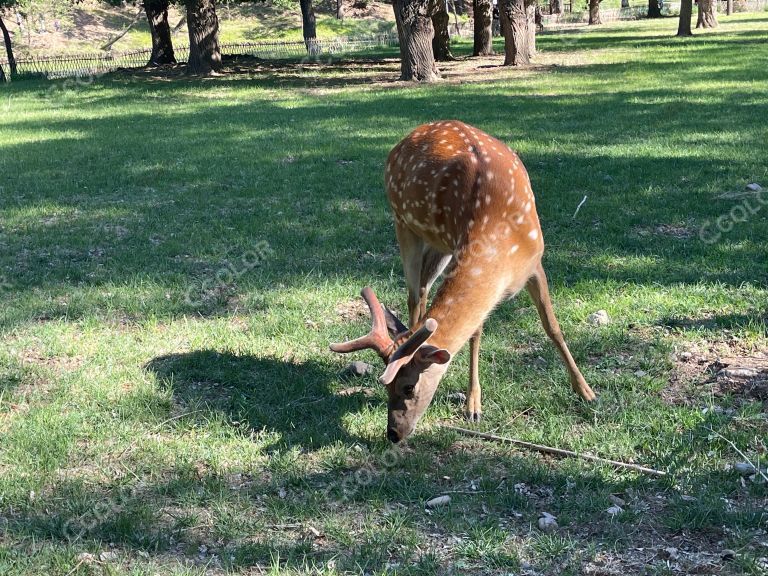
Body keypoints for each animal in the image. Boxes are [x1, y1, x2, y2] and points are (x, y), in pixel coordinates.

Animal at [330, 118, 592, 440]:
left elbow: (552, 327)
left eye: (408, 386)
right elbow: (476, 333)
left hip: (437, 246)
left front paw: (586, 391)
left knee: (422, 291)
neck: (498, 235)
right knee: (415, 295)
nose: (393, 433)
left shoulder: (535, 263)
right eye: (386, 387)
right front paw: (473, 405)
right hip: (403, 222)